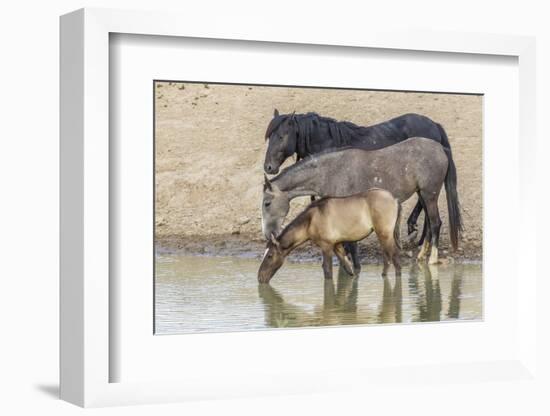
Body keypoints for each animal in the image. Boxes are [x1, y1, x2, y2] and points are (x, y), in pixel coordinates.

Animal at [256, 188, 404, 282]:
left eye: (270, 255)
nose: (260, 277)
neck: (311, 220)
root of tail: (394, 199)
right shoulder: (336, 245)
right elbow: (348, 269)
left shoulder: (326, 246)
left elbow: (327, 270)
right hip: (383, 235)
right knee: (387, 259)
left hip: (385, 234)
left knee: (396, 260)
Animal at [266, 109, 460, 247]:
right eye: (269, 137)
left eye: (281, 136)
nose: (268, 167)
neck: (327, 141)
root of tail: (434, 125)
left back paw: (414, 231)